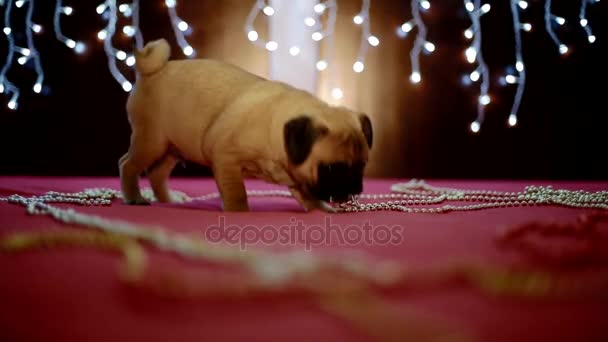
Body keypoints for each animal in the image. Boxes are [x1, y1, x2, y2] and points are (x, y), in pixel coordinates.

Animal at [120, 39, 370, 211]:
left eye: (362, 166)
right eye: (331, 169)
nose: (355, 188)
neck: (276, 126)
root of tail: (153, 72)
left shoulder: (299, 176)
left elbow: (308, 194)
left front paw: (320, 209)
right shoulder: (226, 159)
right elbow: (236, 191)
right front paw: (238, 211)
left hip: (172, 147)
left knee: (157, 174)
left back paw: (168, 200)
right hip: (152, 142)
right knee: (128, 165)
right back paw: (135, 197)